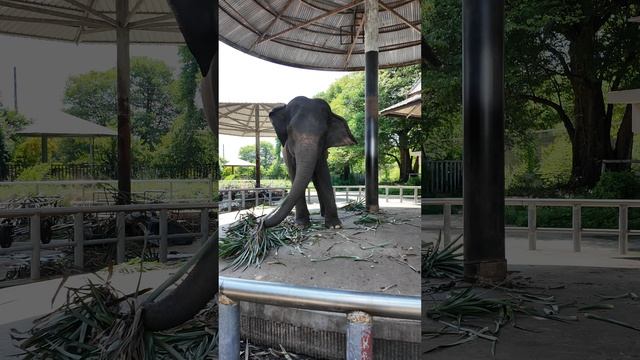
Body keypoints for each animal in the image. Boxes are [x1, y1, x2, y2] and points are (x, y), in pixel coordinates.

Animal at [262, 97, 358, 229]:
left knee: (317, 182)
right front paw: (301, 225)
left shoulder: (322, 151)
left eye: (324, 133)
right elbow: (294, 175)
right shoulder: (287, 152)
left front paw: (335, 226)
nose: (263, 221)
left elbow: (323, 173)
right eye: (290, 130)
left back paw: (323, 214)